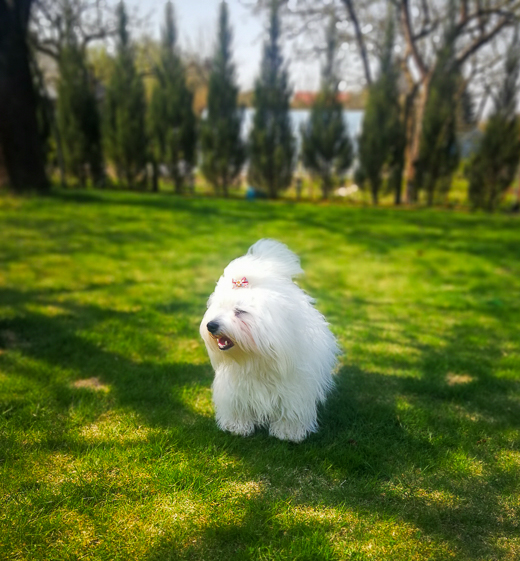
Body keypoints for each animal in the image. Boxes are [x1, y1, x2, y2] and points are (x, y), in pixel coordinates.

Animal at [199, 238, 338, 440]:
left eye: (240, 311)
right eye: (218, 308)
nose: (211, 325)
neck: (255, 357)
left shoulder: (294, 388)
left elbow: (291, 410)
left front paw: (288, 432)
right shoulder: (235, 389)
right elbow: (238, 407)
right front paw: (237, 426)